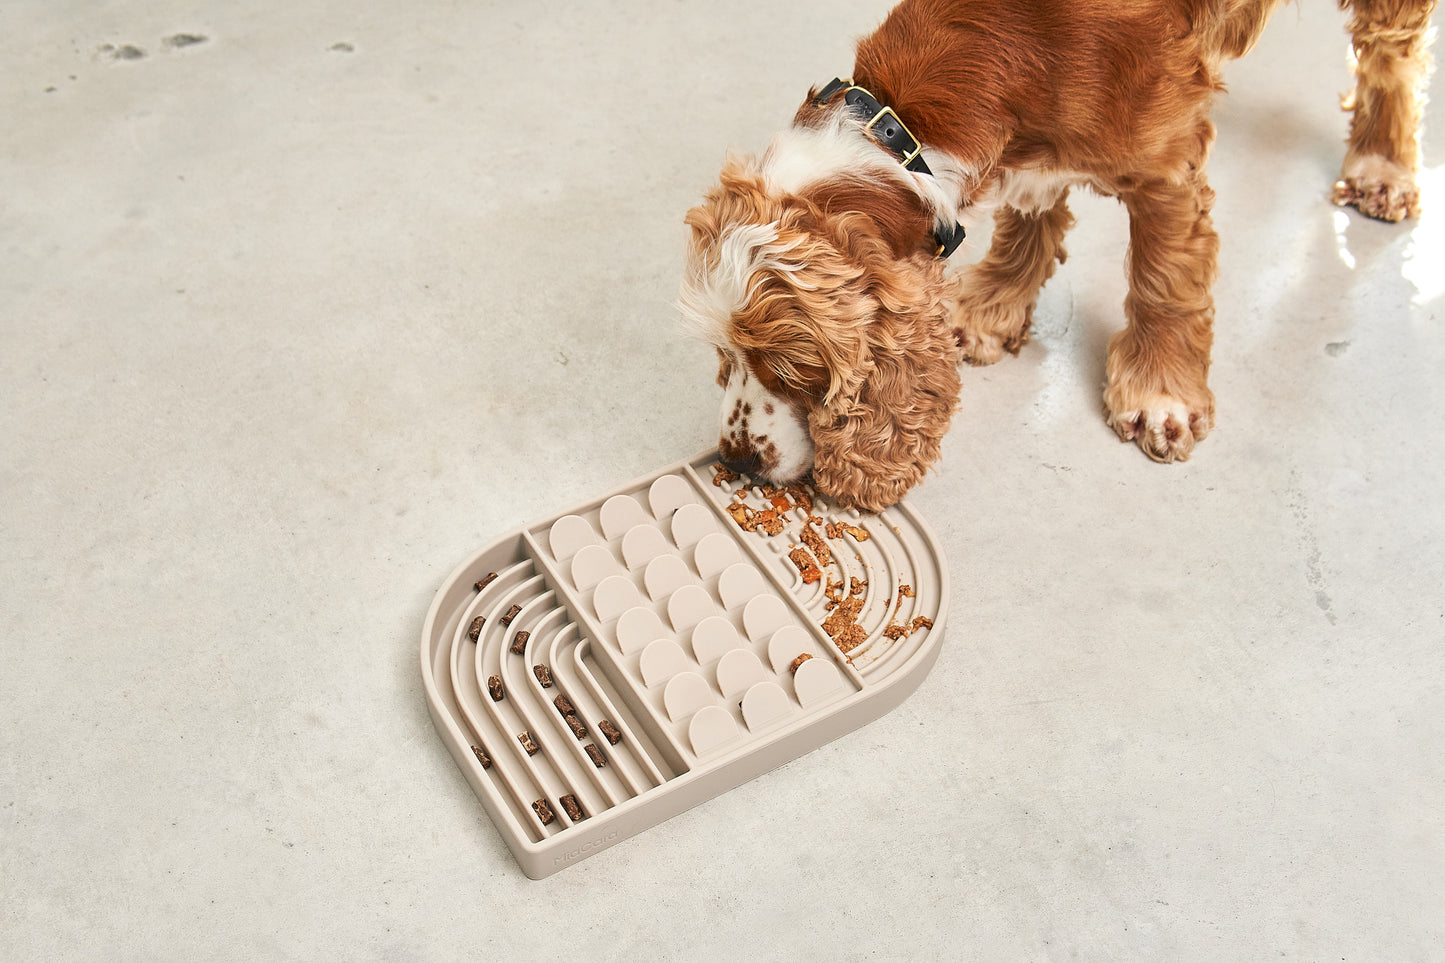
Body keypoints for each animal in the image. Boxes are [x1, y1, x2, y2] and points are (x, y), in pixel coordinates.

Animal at [676, 0, 1433, 508]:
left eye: (793, 369)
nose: (737, 461)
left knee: (1391, 49)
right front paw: (990, 310)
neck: (899, 128)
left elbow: (1165, 279)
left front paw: (1159, 393)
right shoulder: (1033, 145)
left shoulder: (1166, 163)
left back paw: (1382, 163)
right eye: (721, 353)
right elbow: (1035, 209)